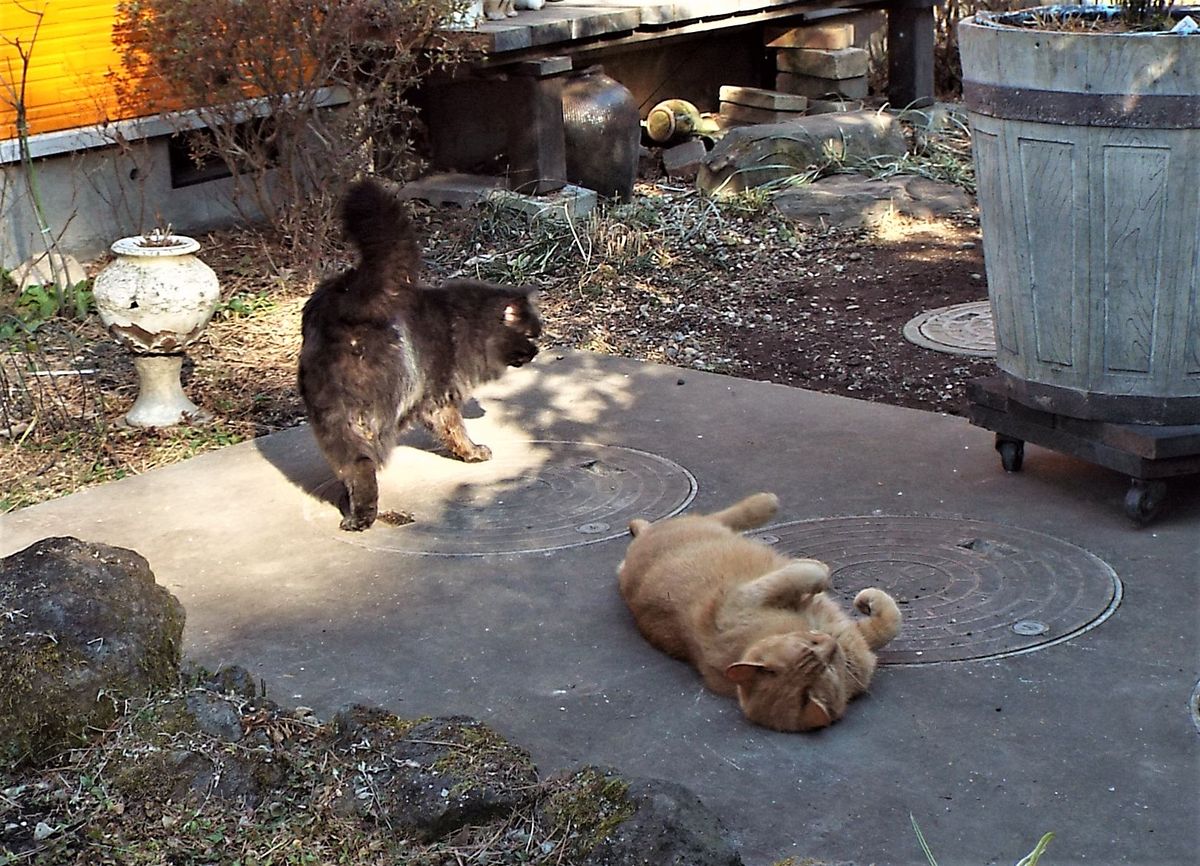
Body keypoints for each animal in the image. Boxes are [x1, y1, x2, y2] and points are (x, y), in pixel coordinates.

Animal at [297, 178, 542, 530]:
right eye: (531, 335)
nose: (537, 351)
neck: (465, 323)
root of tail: (350, 295)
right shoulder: (439, 398)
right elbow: (456, 431)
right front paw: (473, 452)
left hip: (331, 416)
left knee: (352, 463)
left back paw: (354, 512)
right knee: (367, 462)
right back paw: (368, 513)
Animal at [619, 491, 902, 729]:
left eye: (808, 644)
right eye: (826, 668)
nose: (829, 643)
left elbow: (888, 624)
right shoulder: (747, 596)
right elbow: (816, 574)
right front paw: (821, 570)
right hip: (703, 527)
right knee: (728, 515)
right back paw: (766, 502)